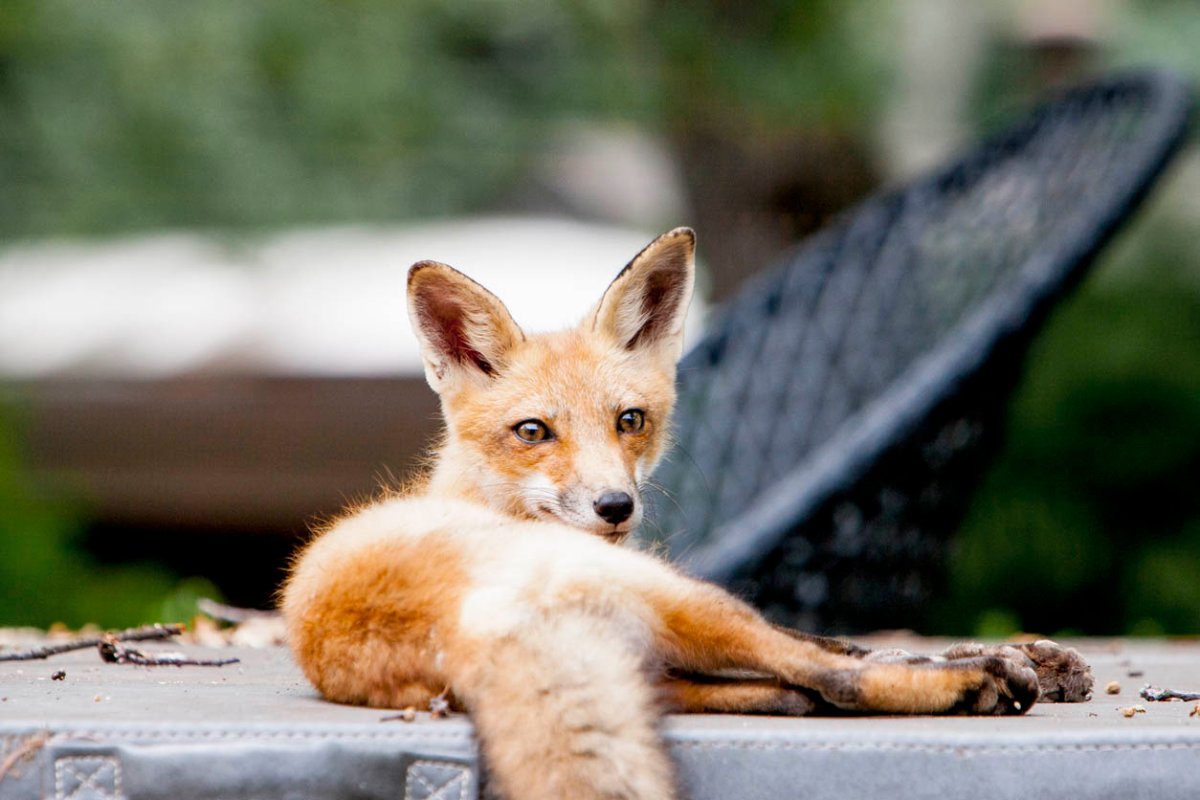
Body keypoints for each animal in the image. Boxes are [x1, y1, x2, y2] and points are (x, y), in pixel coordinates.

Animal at [278, 226, 1089, 800]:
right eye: (534, 432)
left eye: (629, 421)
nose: (615, 506)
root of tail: (466, 625)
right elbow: (844, 653)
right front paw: (994, 663)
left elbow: (845, 640)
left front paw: (1036, 657)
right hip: (679, 601)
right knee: (824, 680)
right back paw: (975, 684)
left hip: (657, 652)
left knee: (791, 688)